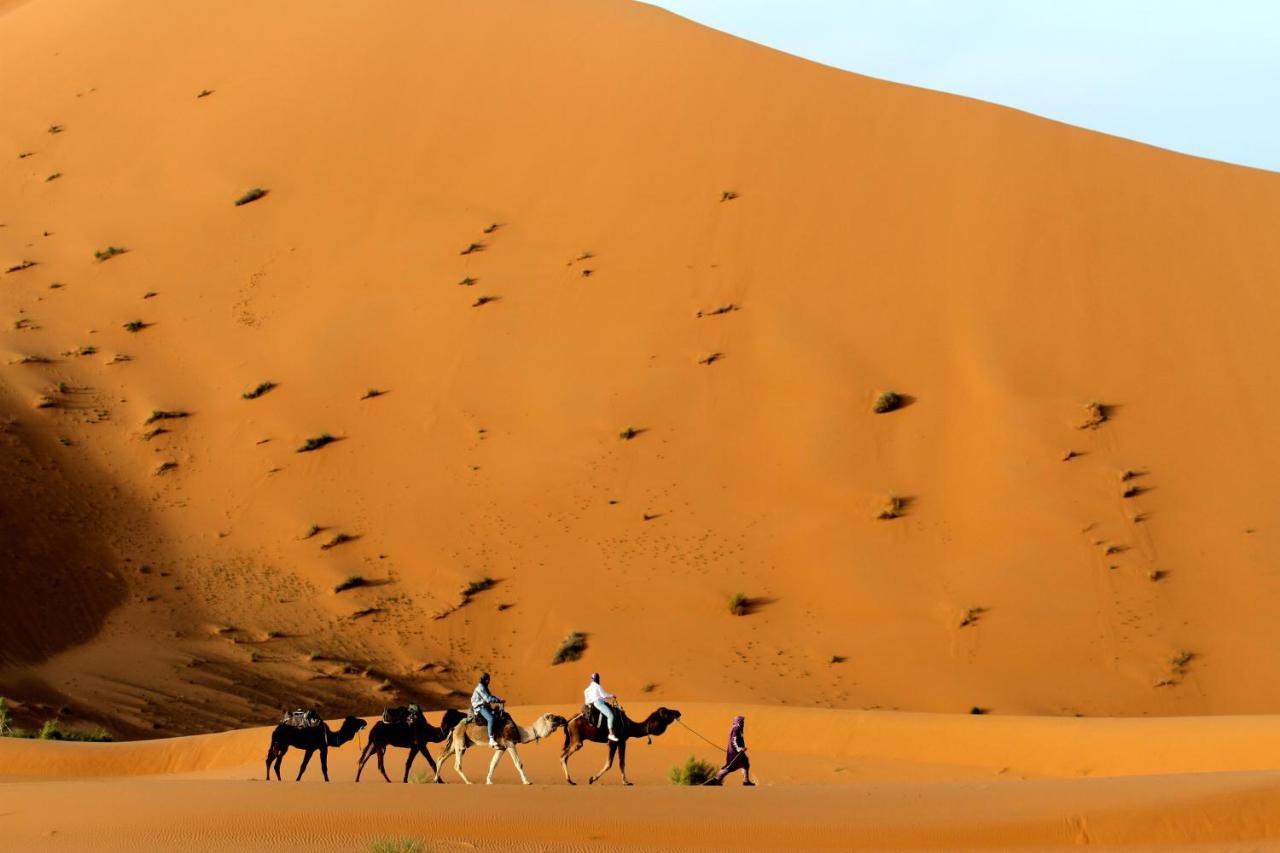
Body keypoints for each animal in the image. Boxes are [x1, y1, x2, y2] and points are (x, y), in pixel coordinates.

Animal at [432, 701, 568, 783]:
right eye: (553, 717)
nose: (564, 719)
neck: (520, 731)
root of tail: (455, 725)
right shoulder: (510, 743)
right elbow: (519, 763)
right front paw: (527, 781)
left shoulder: (501, 748)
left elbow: (493, 764)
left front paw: (489, 781)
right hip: (460, 742)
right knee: (457, 764)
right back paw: (468, 782)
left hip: (456, 742)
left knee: (441, 757)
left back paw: (436, 779)